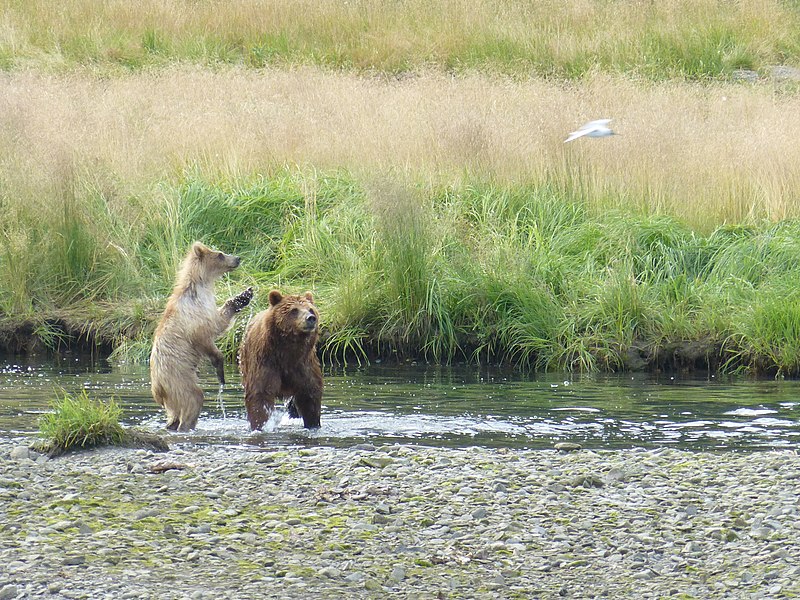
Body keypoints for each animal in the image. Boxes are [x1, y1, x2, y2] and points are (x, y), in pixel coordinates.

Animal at [148, 241, 252, 434]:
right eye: (220, 254)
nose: (237, 258)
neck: (200, 286)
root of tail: (157, 389)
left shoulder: (206, 307)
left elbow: (219, 319)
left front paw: (243, 296)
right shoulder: (194, 316)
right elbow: (208, 334)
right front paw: (220, 369)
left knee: (175, 412)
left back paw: (171, 425)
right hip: (178, 378)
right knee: (194, 398)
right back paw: (186, 426)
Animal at [239, 290, 324, 432]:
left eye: (310, 309)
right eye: (294, 310)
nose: (311, 318)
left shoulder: (304, 365)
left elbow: (310, 396)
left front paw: (313, 424)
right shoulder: (266, 362)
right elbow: (260, 395)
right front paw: (260, 425)